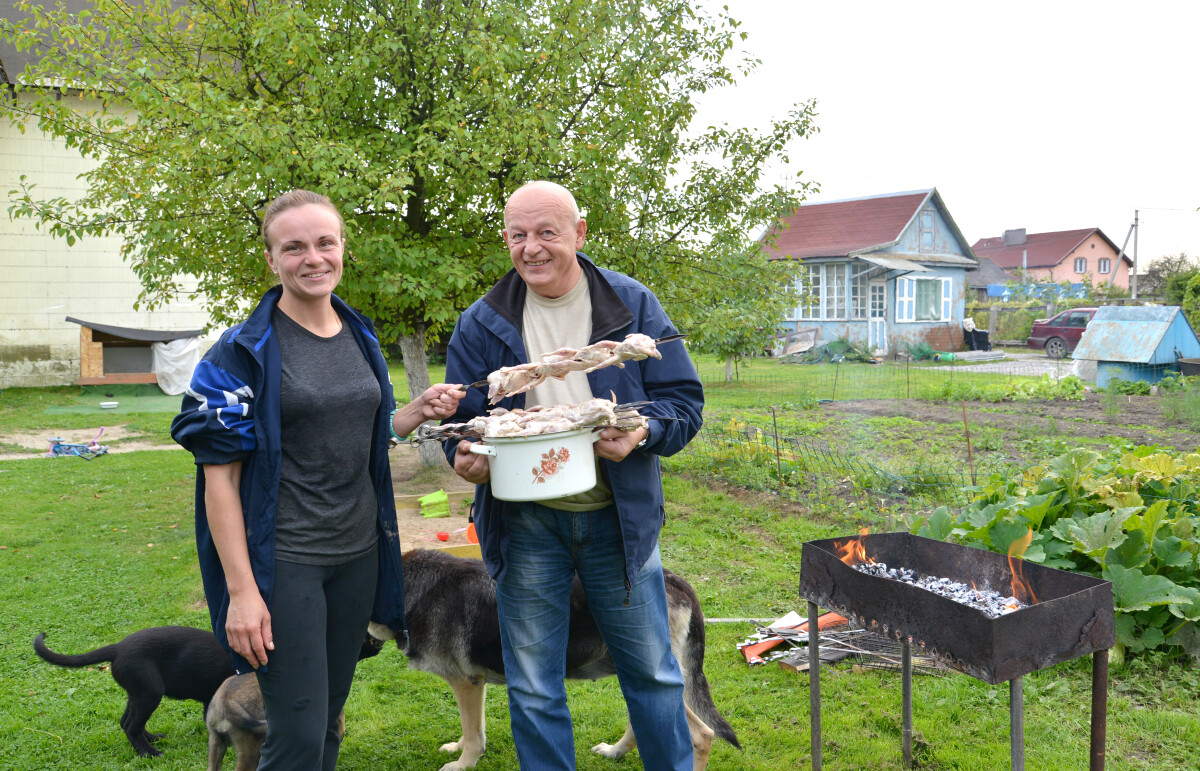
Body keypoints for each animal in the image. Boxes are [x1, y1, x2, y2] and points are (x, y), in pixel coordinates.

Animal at [34, 619, 232, 754]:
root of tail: (118, 648)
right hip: (150, 692)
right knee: (131, 726)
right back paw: (149, 753)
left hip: (137, 693)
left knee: (126, 722)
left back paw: (152, 739)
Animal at [364, 547, 739, 768]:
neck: (409, 590)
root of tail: (678, 582)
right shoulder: (476, 683)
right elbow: (475, 729)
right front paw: (462, 749)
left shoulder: (465, 682)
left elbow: (472, 733)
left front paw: (463, 764)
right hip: (631, 671)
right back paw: (615, 752)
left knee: (702, 735)